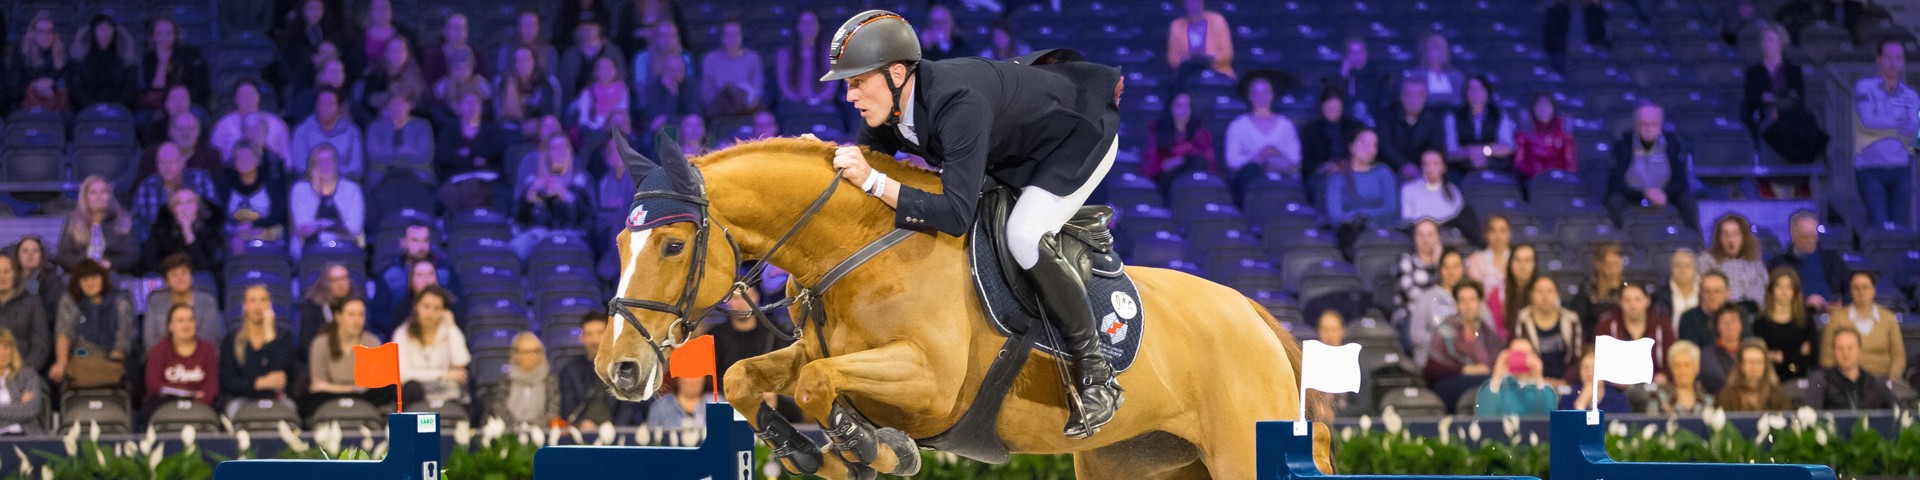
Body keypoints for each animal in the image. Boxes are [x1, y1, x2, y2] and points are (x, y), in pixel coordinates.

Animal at [594, 135, 1332, 479]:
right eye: (619, 242)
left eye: (670, 244)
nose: (618, 370)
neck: (861, 245)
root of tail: (1260, 318)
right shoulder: (821, 351)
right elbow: (752, 375)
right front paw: (808, 451)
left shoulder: (931, 385)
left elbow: (815, 384)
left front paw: (873, 449)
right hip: (1137, 462)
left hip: (1239, 451)